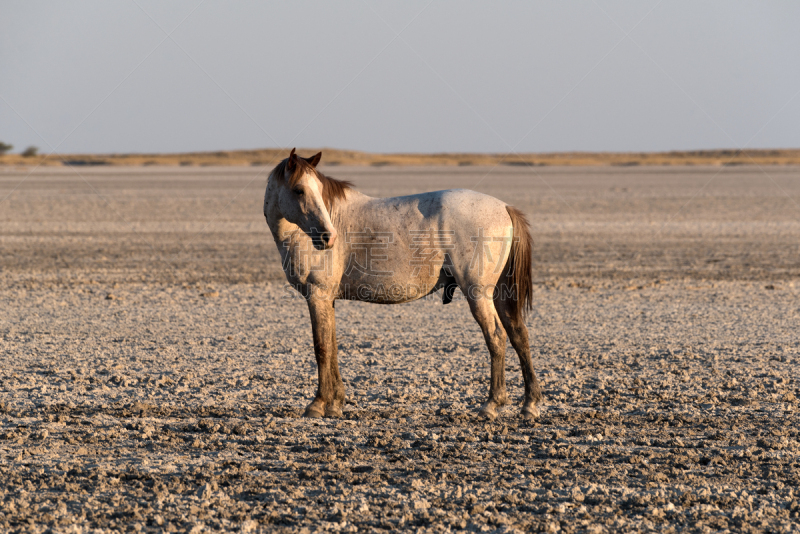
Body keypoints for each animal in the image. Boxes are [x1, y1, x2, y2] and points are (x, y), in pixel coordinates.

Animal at [262, 149, 544, 420]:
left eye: (317, 190)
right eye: (299, 190)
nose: (327, 237)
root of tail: (504, 207)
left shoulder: (317, 296)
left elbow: (321, 348)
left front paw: (318, 404)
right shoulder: (327, 299)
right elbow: (332, 346)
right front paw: (336, 403)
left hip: (479, 294)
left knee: (496, 337)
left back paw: (492, 404)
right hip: (499, 293)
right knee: (518, 334)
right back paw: (529, 404)